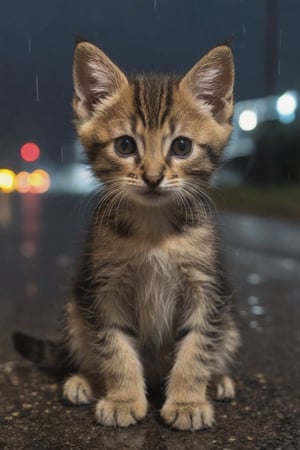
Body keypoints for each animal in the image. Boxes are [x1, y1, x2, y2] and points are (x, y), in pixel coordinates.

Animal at [13, 42, 241, 432]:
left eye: (181, 146)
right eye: (124, 146)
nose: (152, 177)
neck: (154, 227)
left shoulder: (206, 287)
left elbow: (197, 345)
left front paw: (187, 401)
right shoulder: (103, 287)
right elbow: (114, 345)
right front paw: (122, 399)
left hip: (229, 321)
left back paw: (217, 381)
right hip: (76, 306)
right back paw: (85, 380)